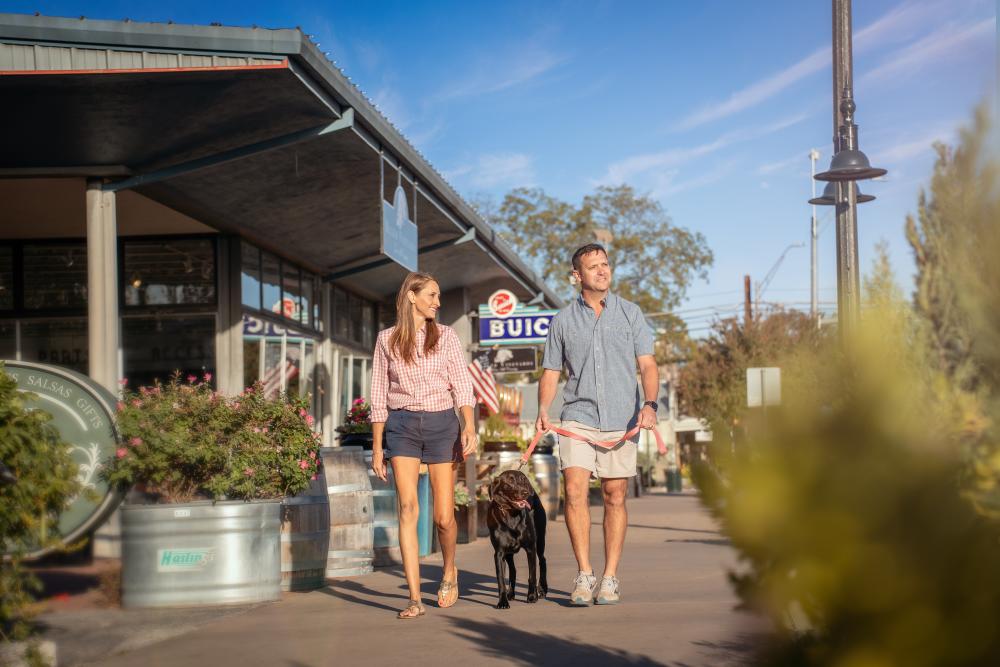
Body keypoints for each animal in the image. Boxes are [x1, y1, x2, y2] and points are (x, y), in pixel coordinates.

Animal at [486, 470, 548, 612]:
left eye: (524, 480)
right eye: (510, 481)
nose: (525, 492)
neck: (511, 515)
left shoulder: (531, 548)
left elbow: (532, 575)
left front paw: (532, 596)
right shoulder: (499, 553)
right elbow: (501, 580)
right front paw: (503, 601)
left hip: (540, 541)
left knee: (543, 560)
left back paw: (542, 589)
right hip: (509, 553)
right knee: (513, 570)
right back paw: (510, 594)